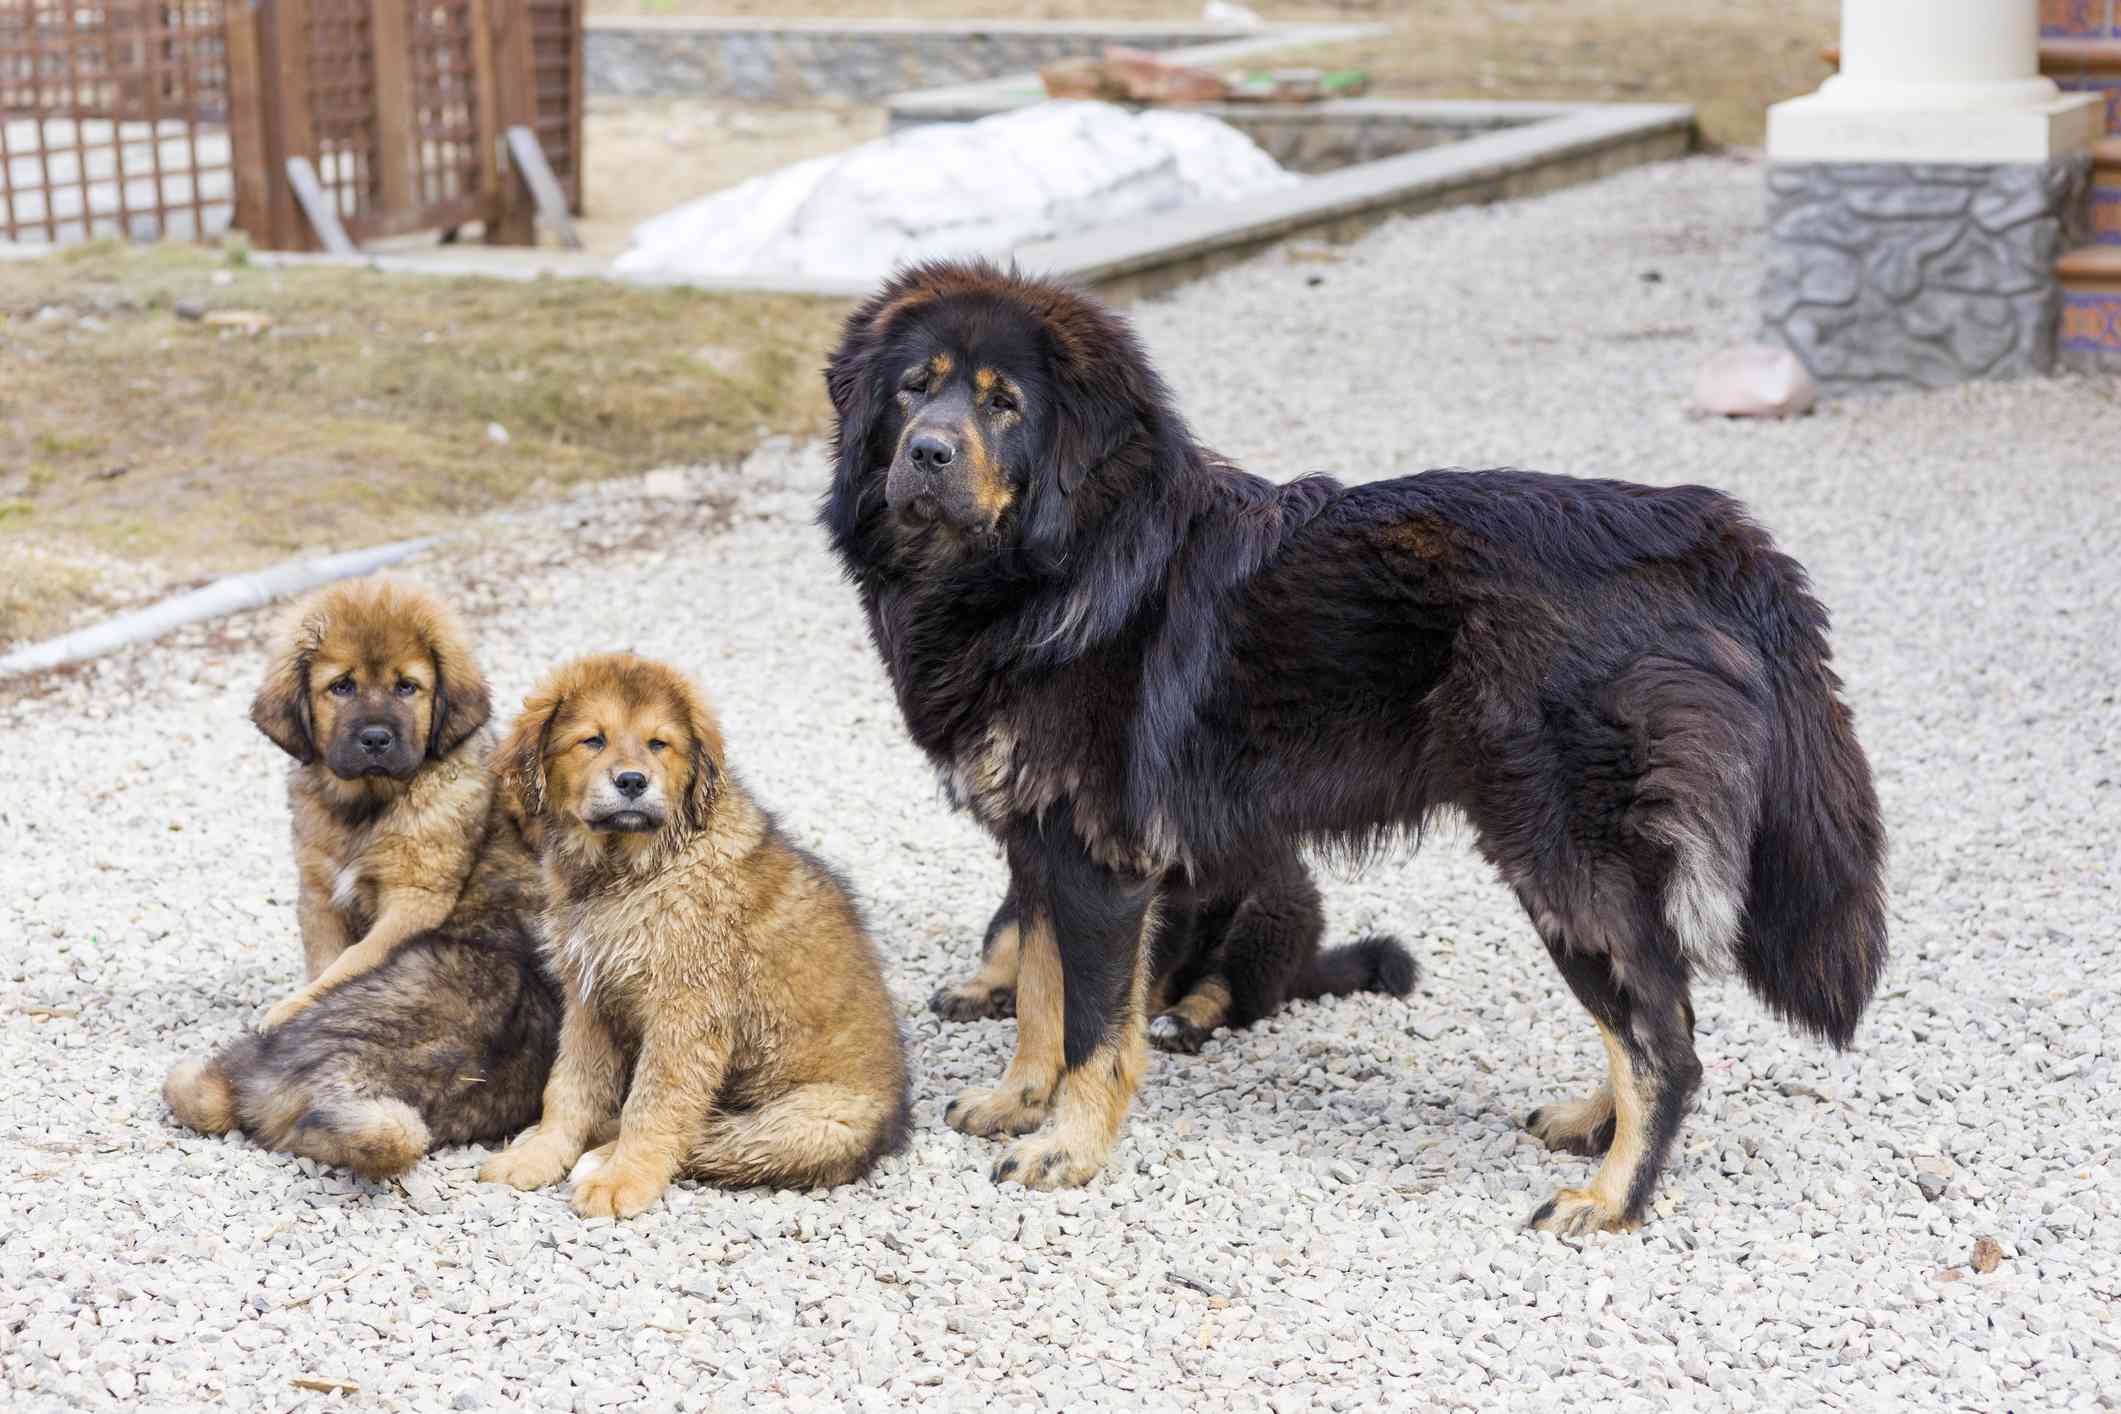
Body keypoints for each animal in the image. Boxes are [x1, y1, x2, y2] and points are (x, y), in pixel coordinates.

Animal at [246, 576, 494, 1030]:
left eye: (407, 686)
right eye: (342, 686)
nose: (376, 739)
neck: (367, 807)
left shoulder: (417, 896)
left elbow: (354, 958)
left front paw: (297, 1008)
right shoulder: (320, 891)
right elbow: (325, 959)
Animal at [477, 652, 907, 1221]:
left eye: (659, 743)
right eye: (592, 740)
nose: (632, 781)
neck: (636, 870)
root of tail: (893, 1123)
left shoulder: (687, 1013)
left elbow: (654, 1104)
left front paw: (623, 1180)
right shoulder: (591, 998)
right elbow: (569, 1087)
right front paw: (541, 1155)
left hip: (812, 1123)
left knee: (719, 1136)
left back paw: (602, 1157)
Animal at [822, 259, 1891, 1229]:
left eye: (1004, 406)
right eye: (914, 388)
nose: (925, 453)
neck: (1062, 563)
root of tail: (1708, 533)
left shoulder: (1101, 860)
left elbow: (1092, 1024)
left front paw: (1068, 1148)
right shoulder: (1040, 845)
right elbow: (1040, 992)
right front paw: (1020, 1101)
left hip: (1562, 863)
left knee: (1663, 1039)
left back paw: (1612, 1199)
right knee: (1658, 1013)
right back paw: (1593, 1126)